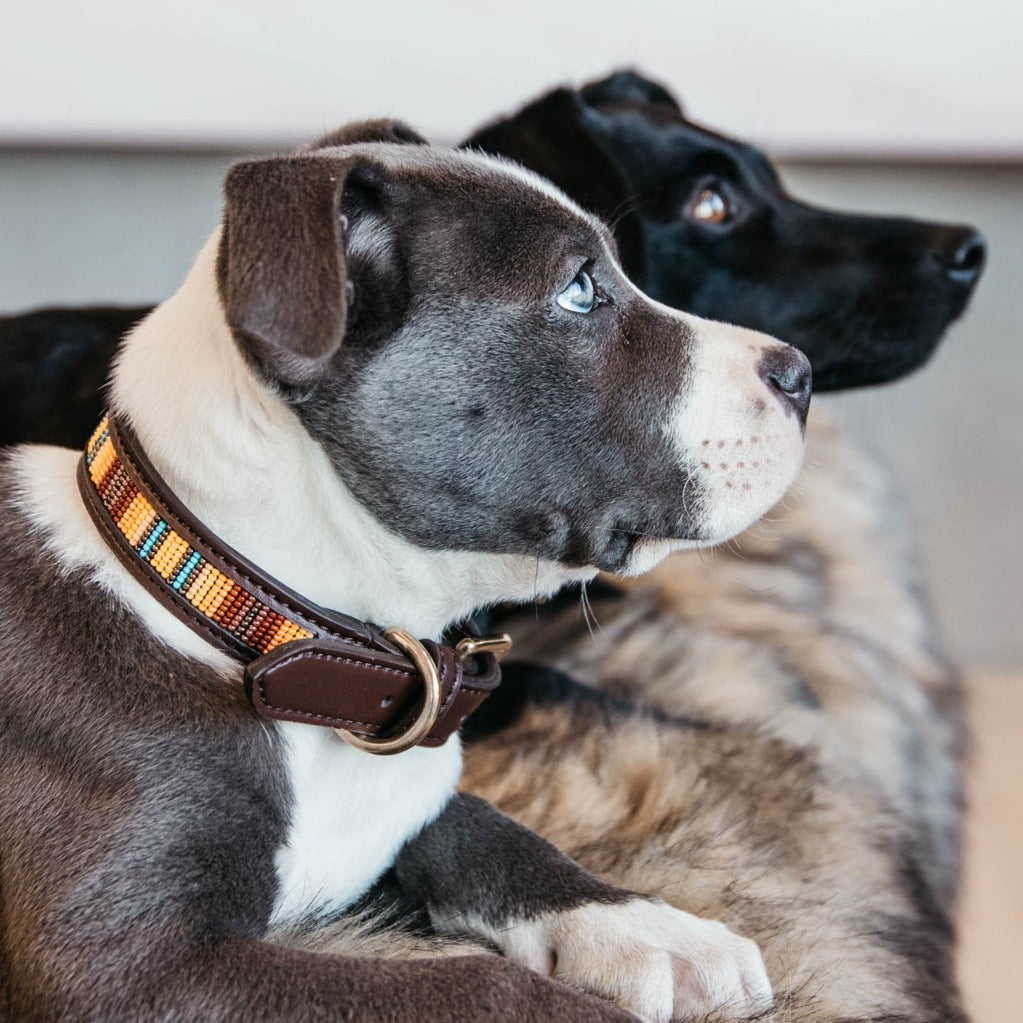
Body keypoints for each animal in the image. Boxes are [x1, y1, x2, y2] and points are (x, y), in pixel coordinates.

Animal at [0, 121, 814, 1023]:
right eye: (578, 292)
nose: (800, 374)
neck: (244, 611)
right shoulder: (119, 968)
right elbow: (475, 982)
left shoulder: (413, 797)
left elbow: (489, 825)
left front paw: (652, 926)